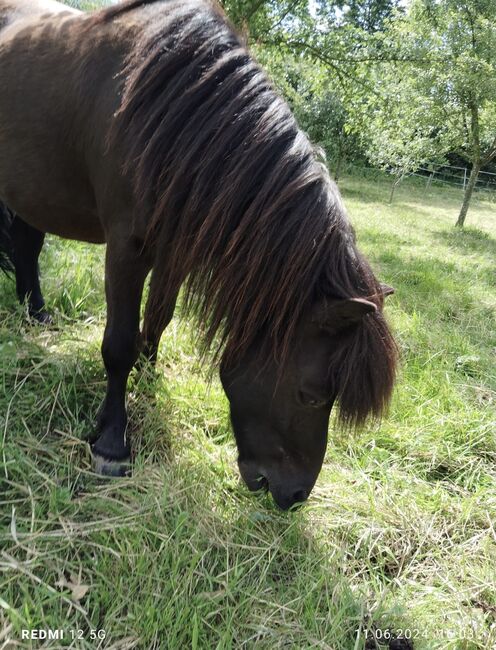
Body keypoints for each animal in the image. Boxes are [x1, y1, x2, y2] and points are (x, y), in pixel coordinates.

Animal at [0, 0, 398, 506]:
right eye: (311, 395)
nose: (294, 497)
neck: (171, 112)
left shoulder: (173, 248)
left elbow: (158, 319)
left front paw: (148, 380)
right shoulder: (127, 250)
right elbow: (118, 344)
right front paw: (112, 442)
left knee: (27, 245)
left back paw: (36, 313)